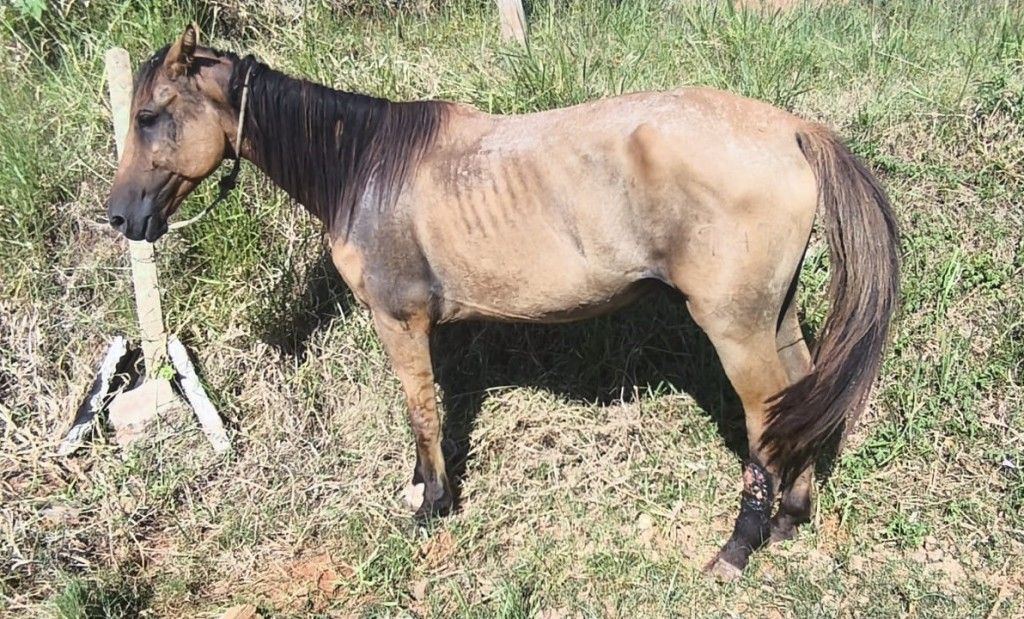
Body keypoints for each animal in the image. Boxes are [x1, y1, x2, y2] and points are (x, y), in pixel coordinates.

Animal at [105, 25, 900, 580]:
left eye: (148, 116)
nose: (119, 217)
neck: (366, 167)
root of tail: (792, 130)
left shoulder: (398, 322)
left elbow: (421, 410)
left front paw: (432, 502)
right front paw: (421, 490)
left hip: (735, 327)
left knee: (766, 417)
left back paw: (738, 546)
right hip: (775, 314)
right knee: (801, 396)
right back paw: (791, 517)